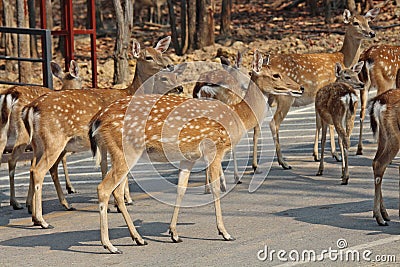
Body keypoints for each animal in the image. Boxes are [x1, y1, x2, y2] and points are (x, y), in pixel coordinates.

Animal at [0, 59, 82, 210]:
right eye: (81, 79)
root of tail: (9, 95)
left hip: (2, 129)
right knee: (12, 160)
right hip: (23, 132)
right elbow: (62, 158)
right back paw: (15, 202)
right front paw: (71, 188)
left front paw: (30, 202)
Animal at [19, 36, 174, 220]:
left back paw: (38, 208)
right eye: (148, 57)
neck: (130, 93)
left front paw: (117, 202)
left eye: (160, 54)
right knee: (40, 170)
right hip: (54, 139)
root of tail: (30, 108)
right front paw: (124, 201)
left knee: (35, 168)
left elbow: (105, 168)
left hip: (38, 143)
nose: (168, 66)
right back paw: (41, 219)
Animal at [87, 50, 304, 255]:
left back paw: (138, 238)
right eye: (276, 74)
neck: (238, 117)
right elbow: (216, 188)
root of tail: (97, 120)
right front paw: (224, 232)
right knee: (104, 189)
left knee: (116, 191)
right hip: (125, 150)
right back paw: (110, 245)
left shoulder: (189, 157)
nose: (300, 87)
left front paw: (174, 233)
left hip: (120, 152)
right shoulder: (215, 148)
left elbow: (181, 188)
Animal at [268, 7, 380, 170]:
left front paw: (315, 154)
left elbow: (318, 124)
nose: (372, 33)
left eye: (368, 21)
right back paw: (283, 162)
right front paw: (336, 154)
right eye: (355, 23)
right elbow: (329, 124)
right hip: (285, 97)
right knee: (274, 123)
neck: (343, 58)